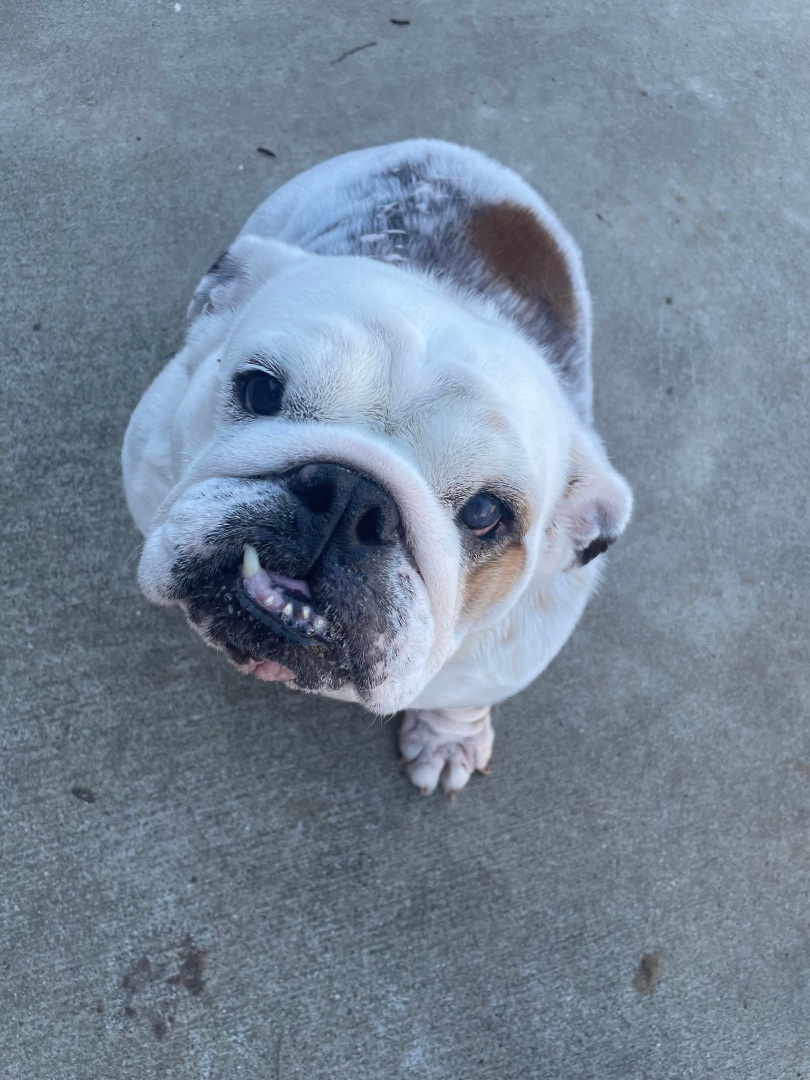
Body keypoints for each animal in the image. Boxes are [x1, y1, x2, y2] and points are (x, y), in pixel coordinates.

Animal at [122, 139, 635, 799]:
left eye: (485, 513)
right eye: (260, 390)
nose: (349, 496)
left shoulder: (500, 664)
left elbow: (460, 701)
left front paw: (449, 740)